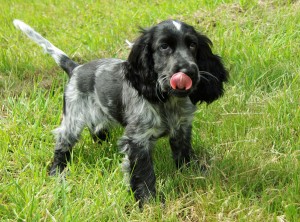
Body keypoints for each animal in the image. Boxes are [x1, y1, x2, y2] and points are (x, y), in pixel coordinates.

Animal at [12, 19, 226, 206]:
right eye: (164, 47)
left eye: (193, 45)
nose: (188, 71)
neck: (167, 101)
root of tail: (76, 68)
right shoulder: (137, 140)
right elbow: (144, 173)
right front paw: (149, 203)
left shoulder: (182, 128)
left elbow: (184, 153)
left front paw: (193, 173)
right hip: (73, 118)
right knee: (62, 144)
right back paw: (56, 172)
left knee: (96, 129)